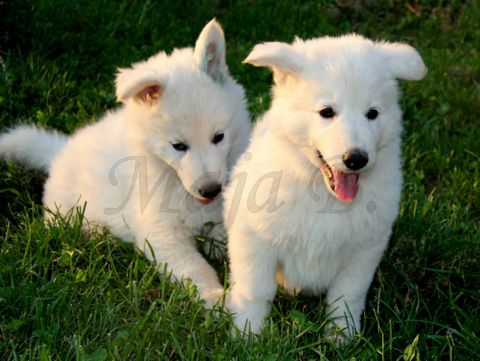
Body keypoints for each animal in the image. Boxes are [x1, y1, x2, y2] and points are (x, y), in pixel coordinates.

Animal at [225, 33, 428, 338]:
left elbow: (347, 296)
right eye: (326, 112)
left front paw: (342, 336)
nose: (356, 159)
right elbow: (255, 291)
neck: (322, 193)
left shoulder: (364, 251)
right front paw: (247, 333)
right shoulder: (256, 239)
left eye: (372, 113)